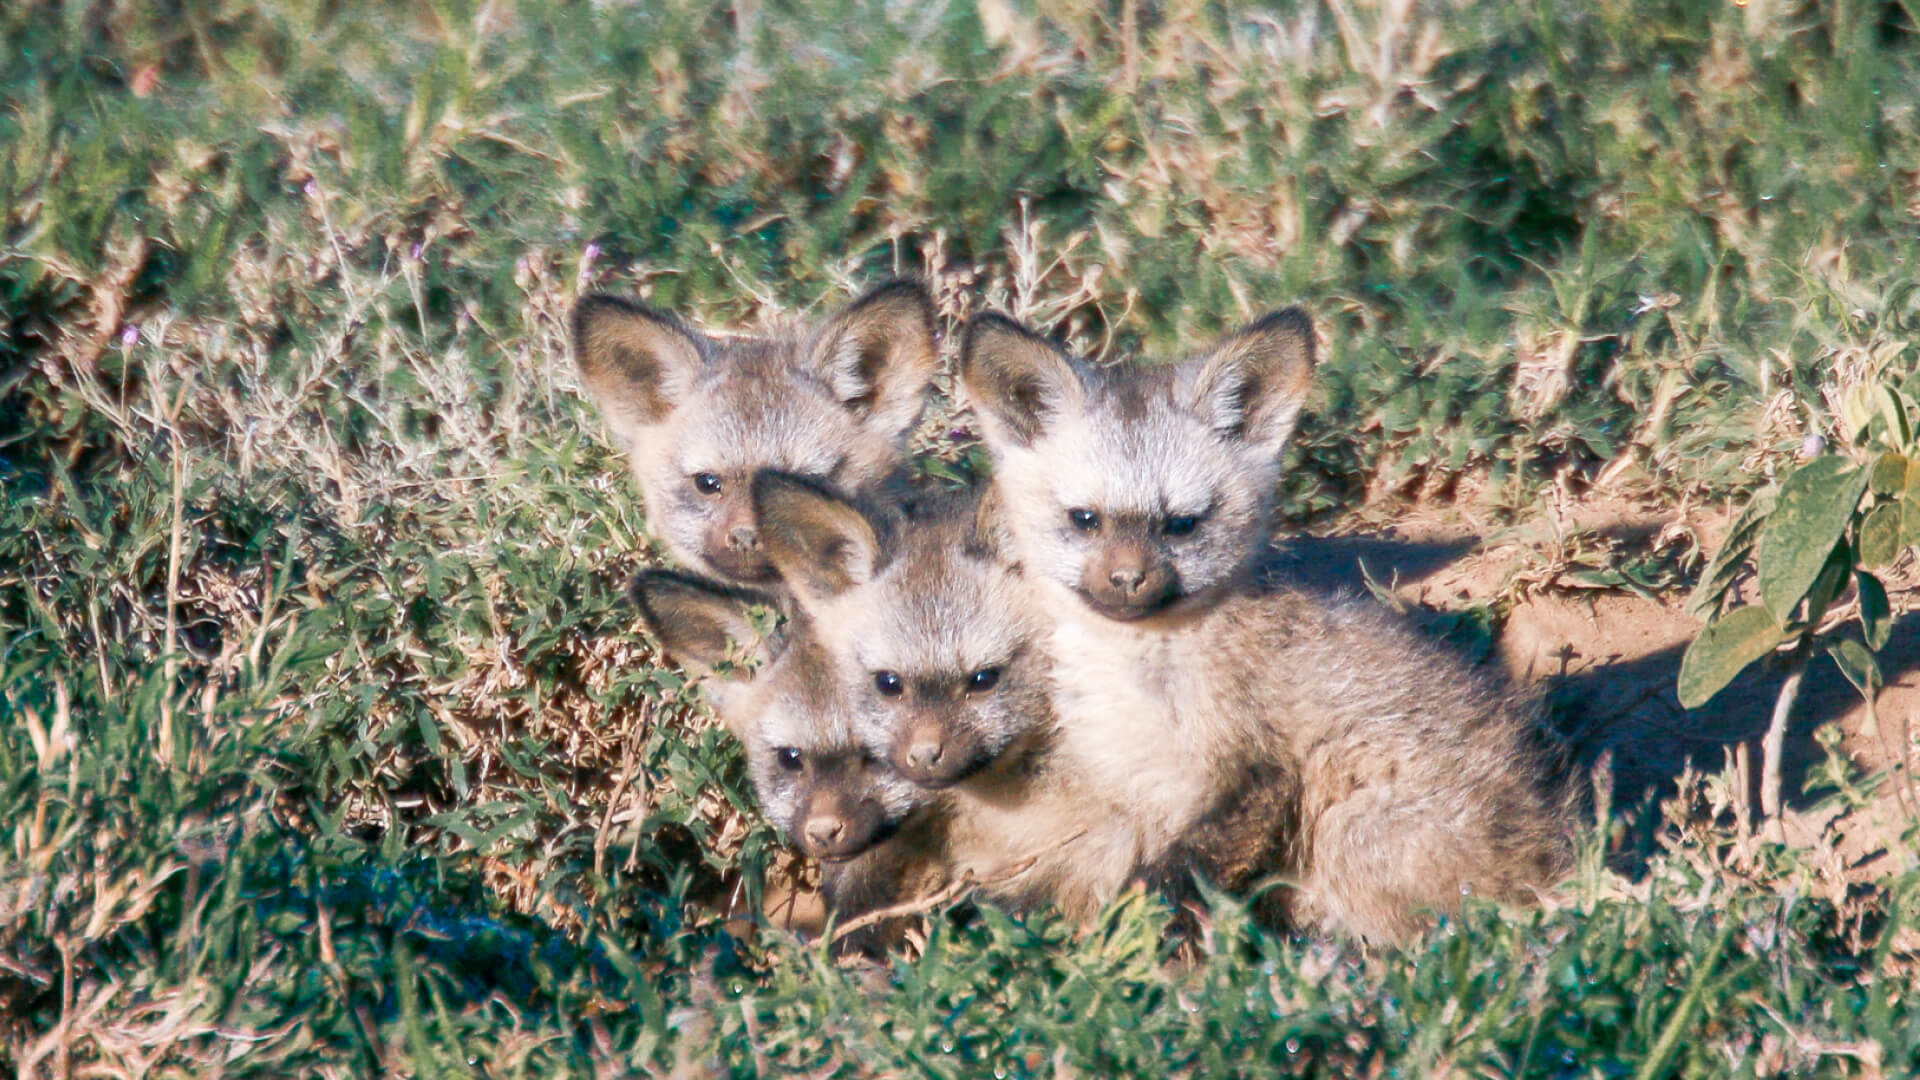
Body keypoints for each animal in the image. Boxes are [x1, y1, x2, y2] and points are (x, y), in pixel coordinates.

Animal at [957, 310, 1571, 943]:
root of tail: (1549, 854)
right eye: (1085, 520)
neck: (1139, 674)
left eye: (1181, 524)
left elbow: (1171, 879)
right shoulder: (1141, 797)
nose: (1128, 580)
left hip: (1352, 829)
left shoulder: (1257, 770)